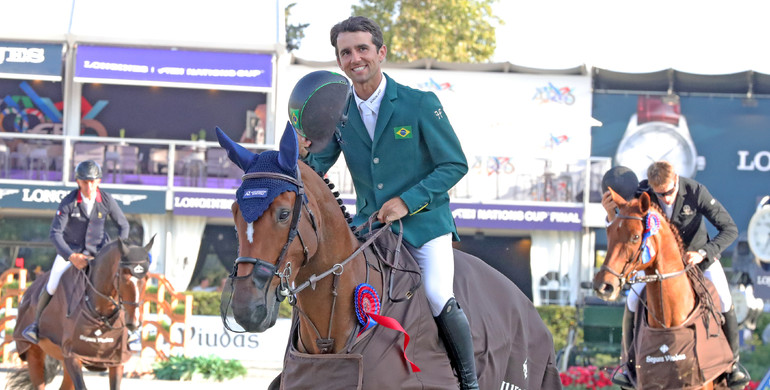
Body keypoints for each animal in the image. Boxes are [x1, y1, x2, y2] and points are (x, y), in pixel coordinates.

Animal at [8, 238, 153, 390]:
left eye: (146, 277)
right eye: (124, 276)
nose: (134, 322)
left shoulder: (116, 360)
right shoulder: (73, 356)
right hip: (33, 352)